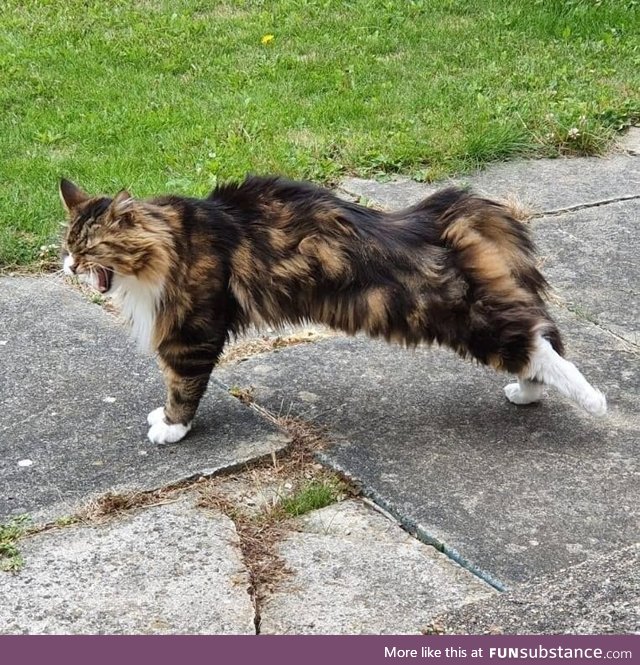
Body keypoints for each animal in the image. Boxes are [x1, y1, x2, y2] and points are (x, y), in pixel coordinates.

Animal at [58, 179, 604, 444]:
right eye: (68, 245)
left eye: (89, 249)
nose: (68, 265)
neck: (174, 240)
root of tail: (428, 220)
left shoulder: (192, 333)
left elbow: (182, 386)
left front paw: (172, 429)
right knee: (535, 338)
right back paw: (528, 394)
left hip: (448, 315)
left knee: (535, 344)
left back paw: (593, 401)